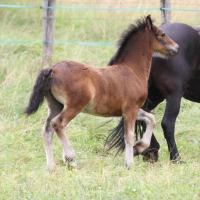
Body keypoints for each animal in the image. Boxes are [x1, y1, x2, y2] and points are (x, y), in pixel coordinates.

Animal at [25, 15, 178, 170]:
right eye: (162, 34)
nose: (176, 47)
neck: (132, 70)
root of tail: (52, 70)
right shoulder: (130, 109)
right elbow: (129, 136)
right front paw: (129, 163)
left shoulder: (129, 110)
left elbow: (151, 119)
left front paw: (139, 147)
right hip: (74, 106)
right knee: (57, 124)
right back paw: (70, 158)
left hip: (55, 105)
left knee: (47, 130)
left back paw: (50, 167)